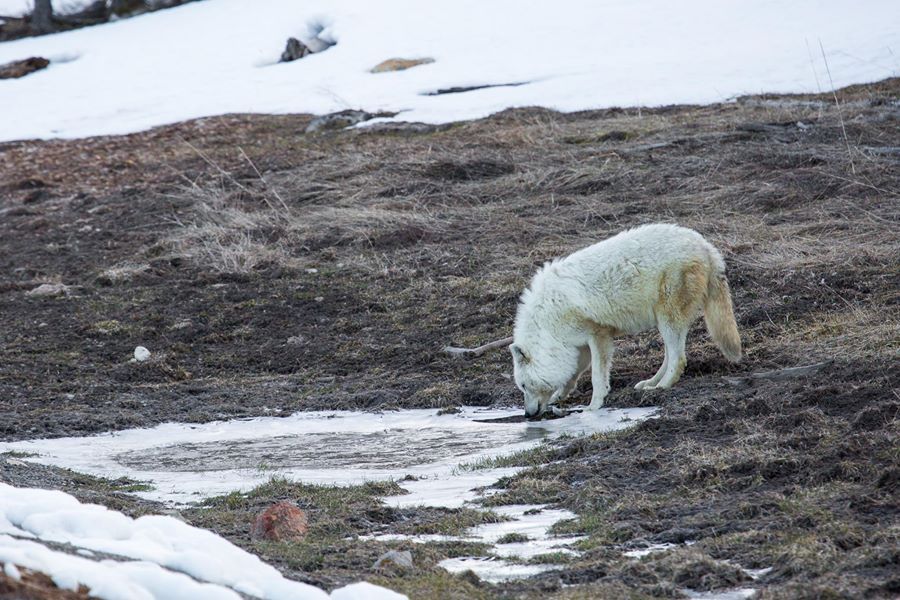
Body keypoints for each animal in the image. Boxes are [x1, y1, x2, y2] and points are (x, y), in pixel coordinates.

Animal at [511, 223, 741, 418]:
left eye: (523, 386)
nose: (527, 415)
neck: (547, 318)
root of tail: (706, 245)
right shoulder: (578, 345)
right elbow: (571, 375)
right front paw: (560, 395)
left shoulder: (599, 336)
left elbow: (597, 377)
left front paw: (593, 406)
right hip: (664, 324)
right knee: (670, 356)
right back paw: (650, 384)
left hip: (668, 320)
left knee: (679, 359)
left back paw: (662, 386)